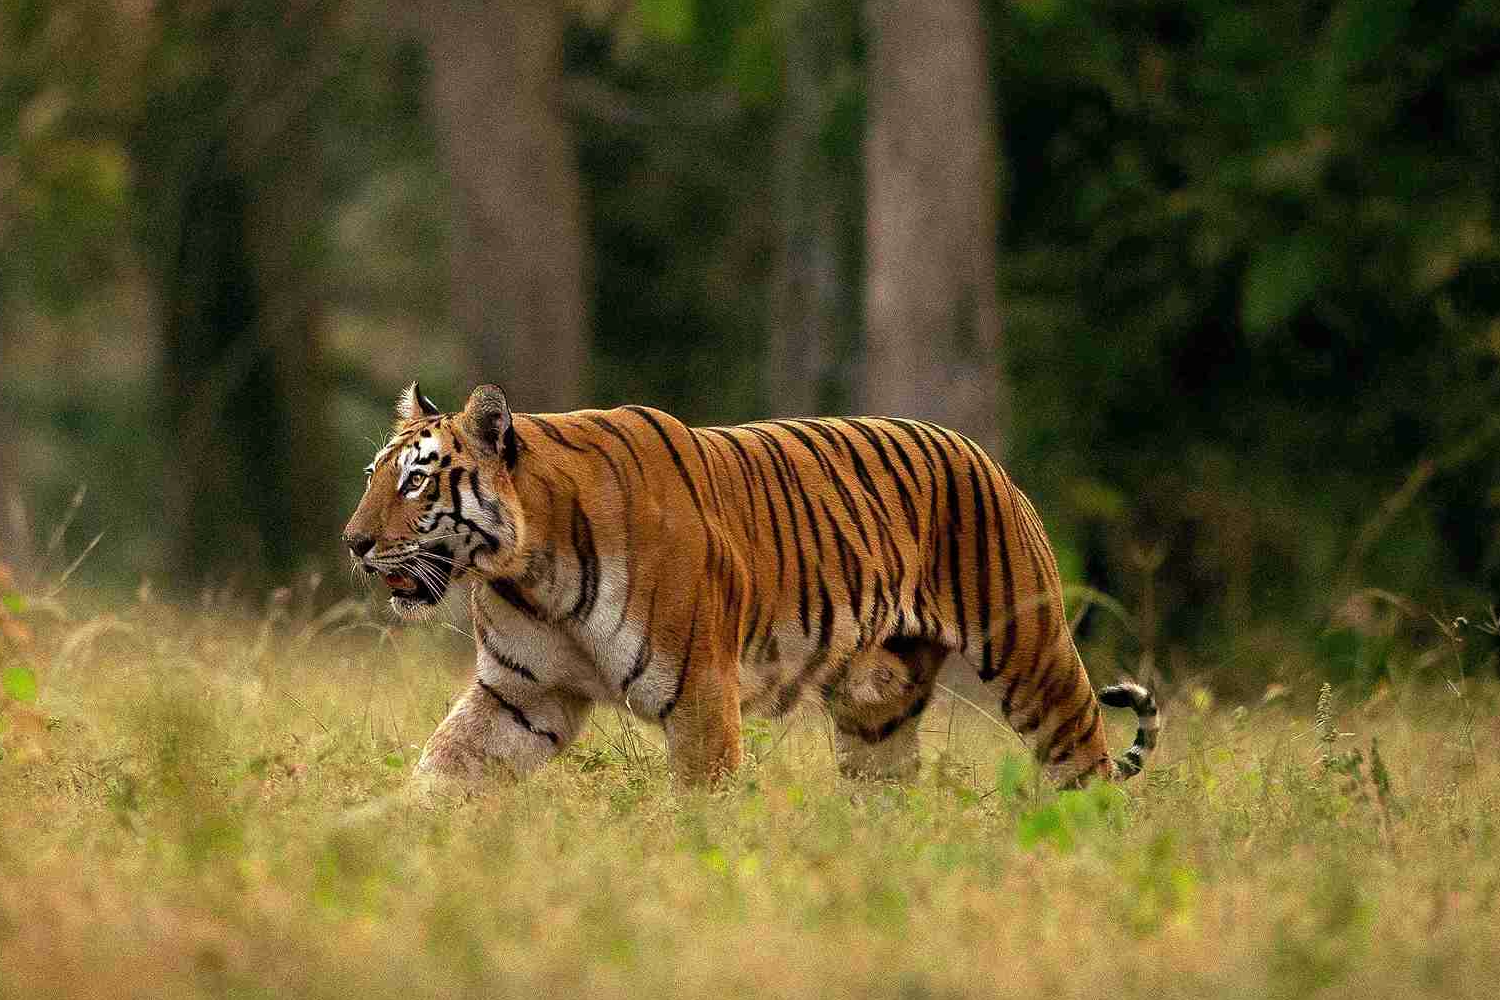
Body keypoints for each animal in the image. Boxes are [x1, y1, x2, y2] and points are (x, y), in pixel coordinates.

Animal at [342, 382, 1160, 787]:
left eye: (415, 482)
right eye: (373, 475)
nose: (353, 542)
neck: (531, 570)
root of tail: (980, 452)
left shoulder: (701, 694)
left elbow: (703, 810)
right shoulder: (522, 694)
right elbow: (443, 770)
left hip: (1031, 652)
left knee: (1084, 761)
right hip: (877, 708)